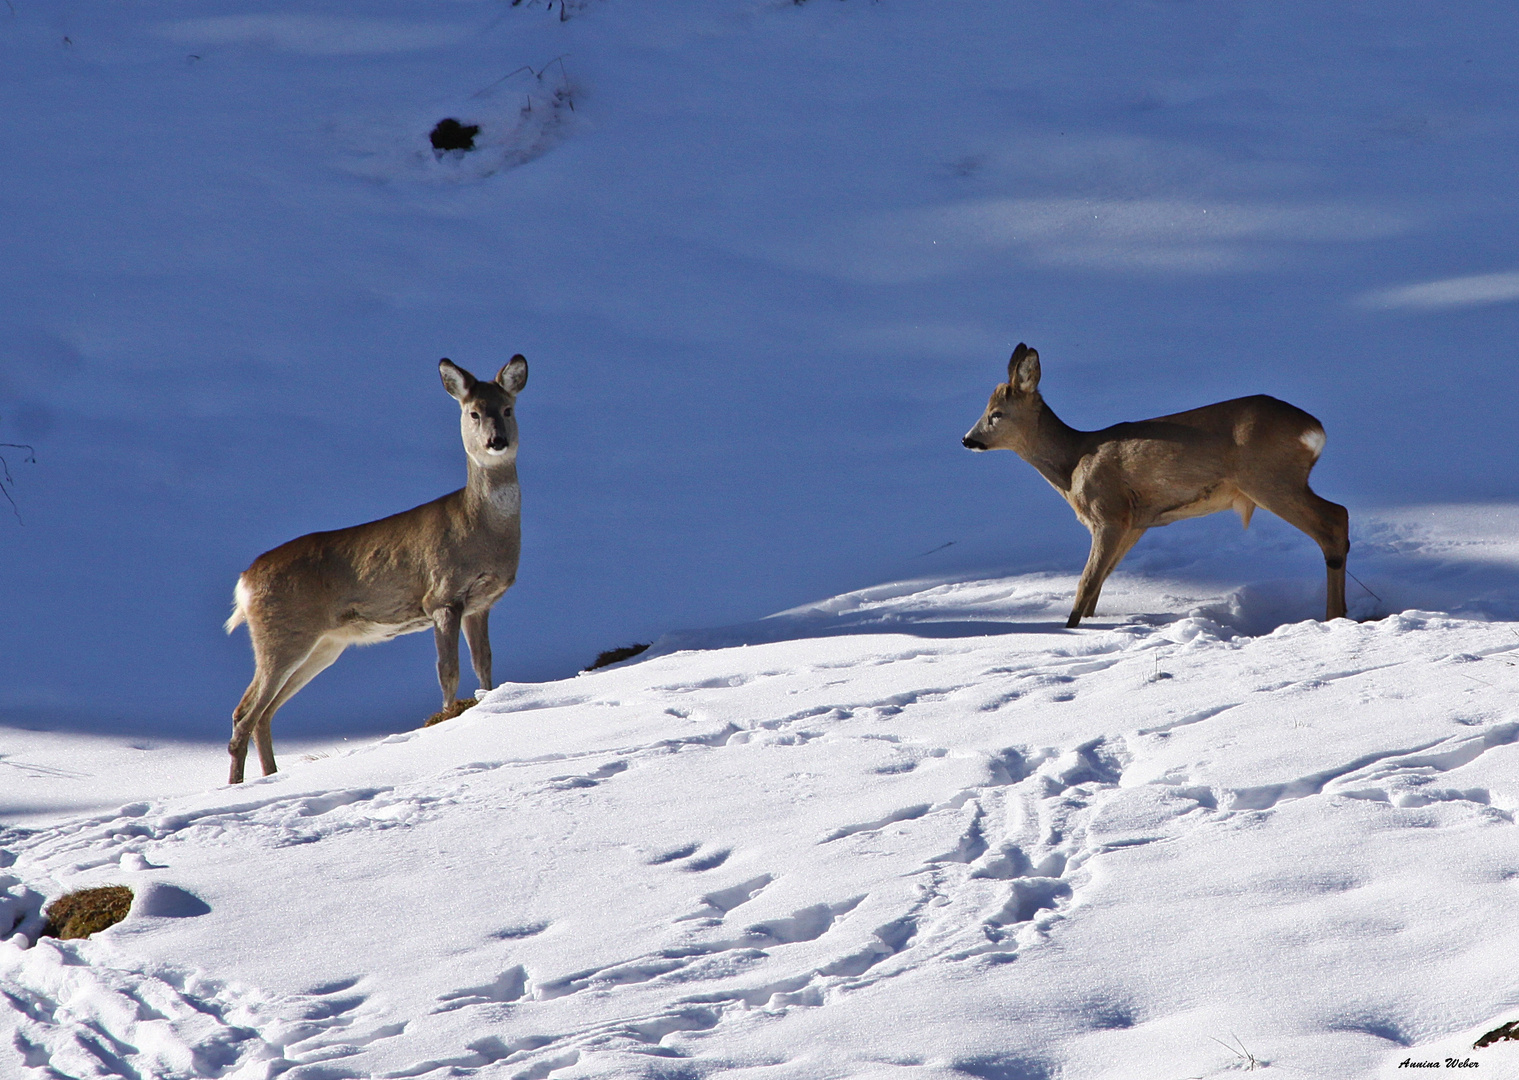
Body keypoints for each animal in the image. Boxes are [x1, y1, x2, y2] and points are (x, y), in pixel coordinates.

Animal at [221, 358, 531, 783]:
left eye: (508, 409)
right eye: (473, 413)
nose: (496, 441)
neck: (480, 529)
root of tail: (245, 583)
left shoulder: (480, 603)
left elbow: (483, 664)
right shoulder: (442, 597)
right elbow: (447, 671)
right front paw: (447, 717)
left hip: (323, 644)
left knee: (264, 714)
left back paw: (270, 777)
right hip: (280, 634)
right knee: (244, 713)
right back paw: (238, 786)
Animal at [966, 346, 1348, 628]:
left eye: (996, 413)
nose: (967, 439)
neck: (1072, 464)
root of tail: (1315, 430)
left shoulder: (1109, 512)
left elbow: (1086, 582)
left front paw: (1071, 631)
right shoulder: (1136, 522)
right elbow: (1099, 584)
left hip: (1270, 478)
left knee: (1334, 520)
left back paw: (1334, 617)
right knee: (1338, 517)